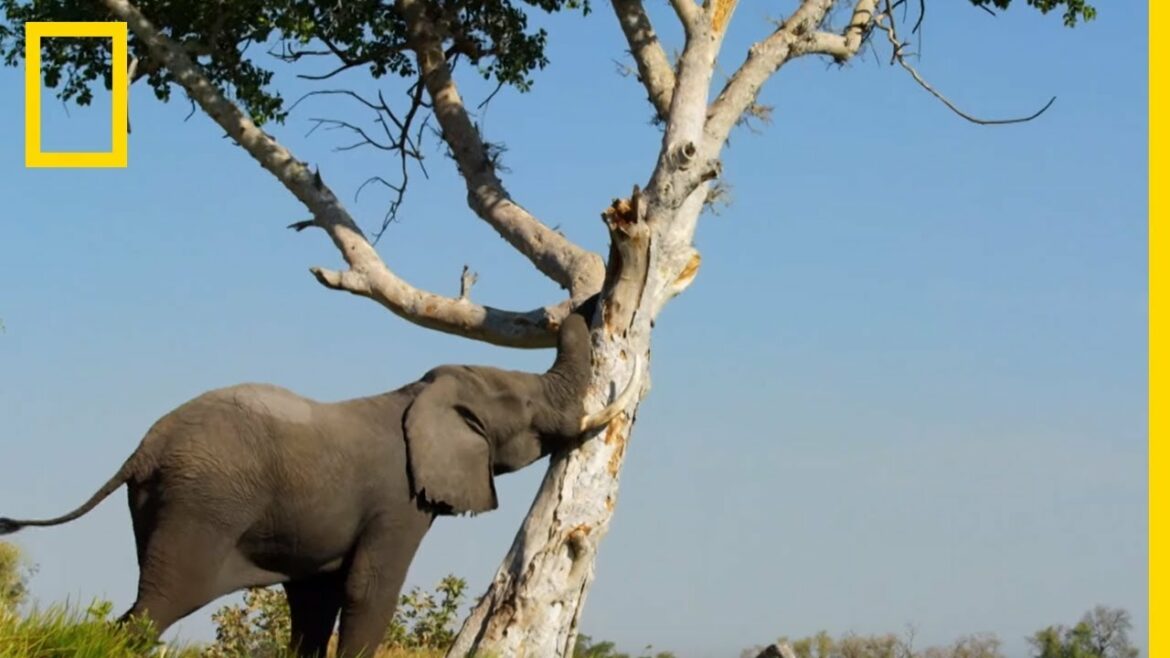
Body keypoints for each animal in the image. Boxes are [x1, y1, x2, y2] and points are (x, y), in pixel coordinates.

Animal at [0, 311, 638, 658]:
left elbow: (316, 600)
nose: (575, 307)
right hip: (201, 504)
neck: (418, 393)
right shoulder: (398, 501)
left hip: (160, 502)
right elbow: (369, 590)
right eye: (527, 407)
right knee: (160, 603)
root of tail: (143, 447)